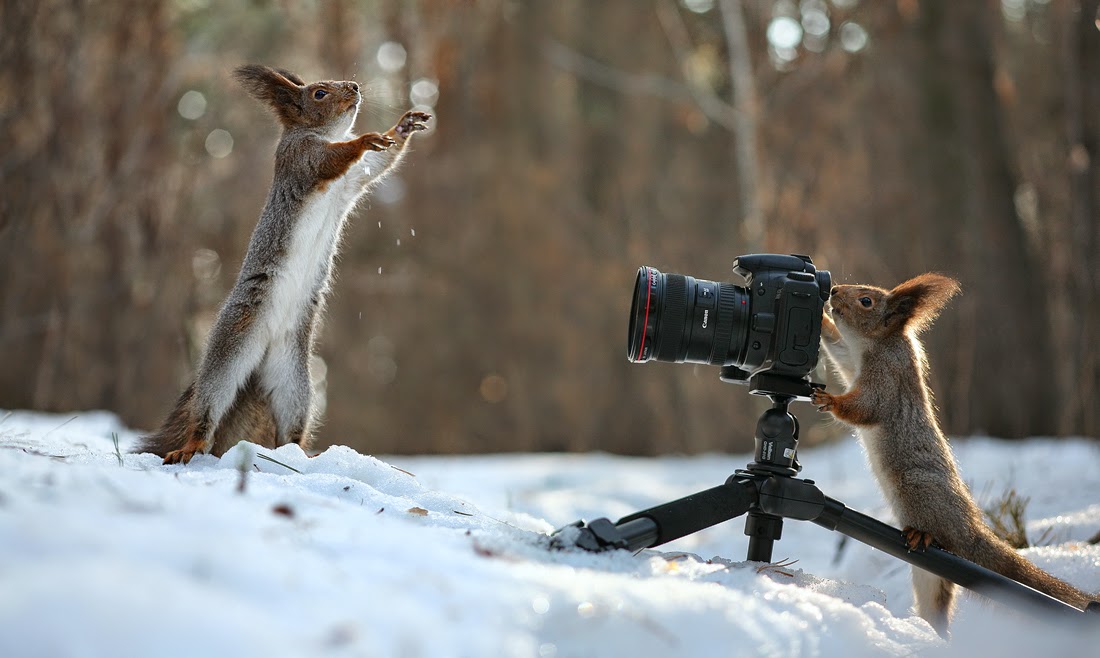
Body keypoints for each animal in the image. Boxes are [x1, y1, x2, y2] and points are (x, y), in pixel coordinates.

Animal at [136, 65, 430, 465]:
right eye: (319, 93)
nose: (354, 86)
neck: (321, 134)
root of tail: (262, 356)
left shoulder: (353, 180)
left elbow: (378, 164)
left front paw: (402, 127)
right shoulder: (299, 159)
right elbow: (330, 160)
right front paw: (365, 139)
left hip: (295, 382)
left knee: (290, 426)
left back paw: (301, 457)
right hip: (232, 348)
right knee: (209, 405)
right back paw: (192, 446)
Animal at [812, 273, 1095, 636]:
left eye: (866, 301)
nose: (833, 291)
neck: (877, 344)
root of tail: (969, 530)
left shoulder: (886, 380)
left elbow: (865, 408)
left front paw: (830, 400)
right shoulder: (852, 359)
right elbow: (838, 349)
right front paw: (822, 320)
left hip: (919, 494)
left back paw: (922, 535)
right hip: (929, 575)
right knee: (937, 603)